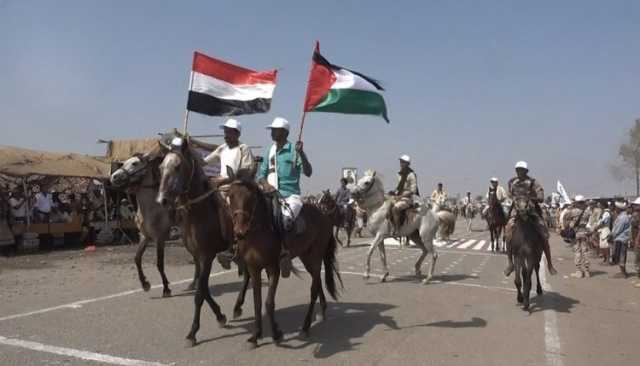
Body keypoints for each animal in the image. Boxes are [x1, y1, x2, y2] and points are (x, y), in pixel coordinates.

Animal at [156, 139, 232, 346]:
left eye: (178, 166)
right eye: (160, 168)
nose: (162, 200)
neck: (199, 213)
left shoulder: (207, 256)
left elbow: (199, 294)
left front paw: (192, 332)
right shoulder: (198, 256)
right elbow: (203, 288)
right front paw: (220, 316)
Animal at [228, 170, 342, 348]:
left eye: (251, 197)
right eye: (230, 196)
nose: (239, 231)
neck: (259, 232)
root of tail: (324, 216)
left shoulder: (273, 267)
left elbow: (269, 303)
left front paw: (276, 334)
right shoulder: (254, 268)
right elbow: (257, 302)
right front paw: (256, 335)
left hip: (314, 257)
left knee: (313, 289)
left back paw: (306, 326)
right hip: (306, 257)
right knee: (317, 283)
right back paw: (322, 311)